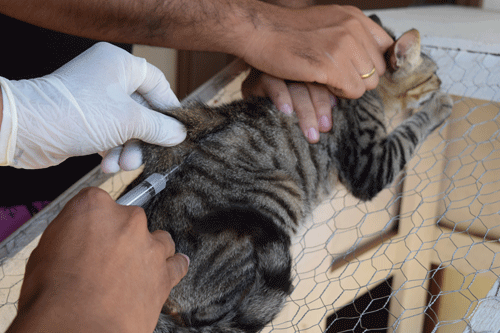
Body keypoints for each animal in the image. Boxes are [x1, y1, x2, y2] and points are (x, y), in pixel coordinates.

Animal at [124, 18, 454, 332]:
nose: (443, 82)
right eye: (435, 74)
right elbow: (409, 133)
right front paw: (440, 106)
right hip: (282, 196)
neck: (374, 94)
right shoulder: (368, 164)